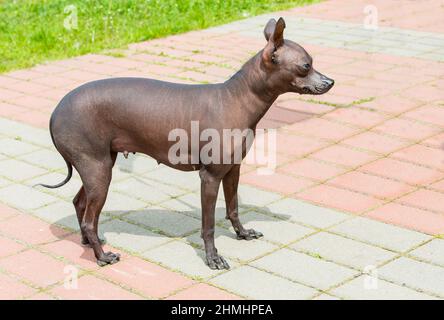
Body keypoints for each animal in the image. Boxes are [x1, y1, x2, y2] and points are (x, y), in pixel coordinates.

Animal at [37, 16, 332, 268]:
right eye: (306, 65)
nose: (330, 81)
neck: (237, 98)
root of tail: (55, 111)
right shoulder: (209, 177)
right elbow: (208, 224)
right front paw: (213, 258)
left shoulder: (233, 170)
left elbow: (234, 208)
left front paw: (242, 233)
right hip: (98, 170)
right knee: (89, 218)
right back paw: (102, 256)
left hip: (99, 166)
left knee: (80, 204)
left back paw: (88, 242)